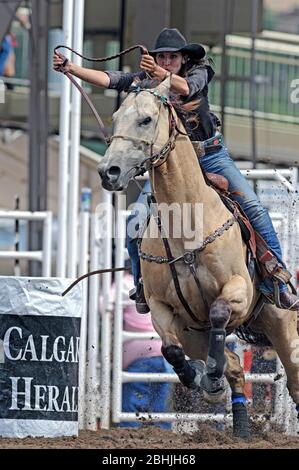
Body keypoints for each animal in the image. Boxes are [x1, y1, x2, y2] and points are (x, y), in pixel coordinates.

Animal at [98, 75, 299, 438]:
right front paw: (200, 378)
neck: (187, 226)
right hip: (197, 333)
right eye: (116, 117)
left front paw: (209, 376)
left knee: (293, 379)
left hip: (282, 324)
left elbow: (219, 311)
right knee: (236, 369)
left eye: (146, 119)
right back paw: (238, 422)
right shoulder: (162, 308)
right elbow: (170, 349)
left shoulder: (238, 289)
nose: (109, 171)